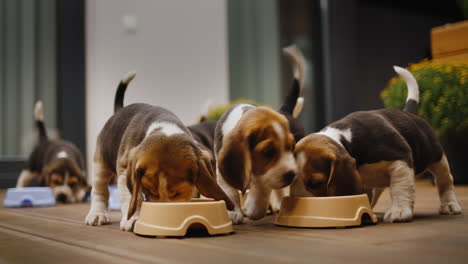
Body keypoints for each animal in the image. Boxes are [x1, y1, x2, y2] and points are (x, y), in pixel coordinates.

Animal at [84, 72, 234, 231]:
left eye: (177, 193)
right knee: (100, 190)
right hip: (100, 164)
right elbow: (133, 197)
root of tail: (119, 110)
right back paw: (97, 214)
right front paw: (133, 218)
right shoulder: (125, 170)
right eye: (149, 191)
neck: (163, 128)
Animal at [214, 45, 306, 223]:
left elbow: (262, 189)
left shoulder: (265, 177)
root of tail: (284, 110)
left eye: (292, 148)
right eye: (268, 152)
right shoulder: (222, 174)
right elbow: (231, 193)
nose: (291, 174)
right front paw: (234, 212)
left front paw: (253, 208)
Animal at [292, 66, 460, 223]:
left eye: (315, 183)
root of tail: (408, 112)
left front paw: (399, 211)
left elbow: (400, 187)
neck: (346, 140)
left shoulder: (400, 159)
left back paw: (449, 204)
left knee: (445, 180)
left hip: (437, 157)